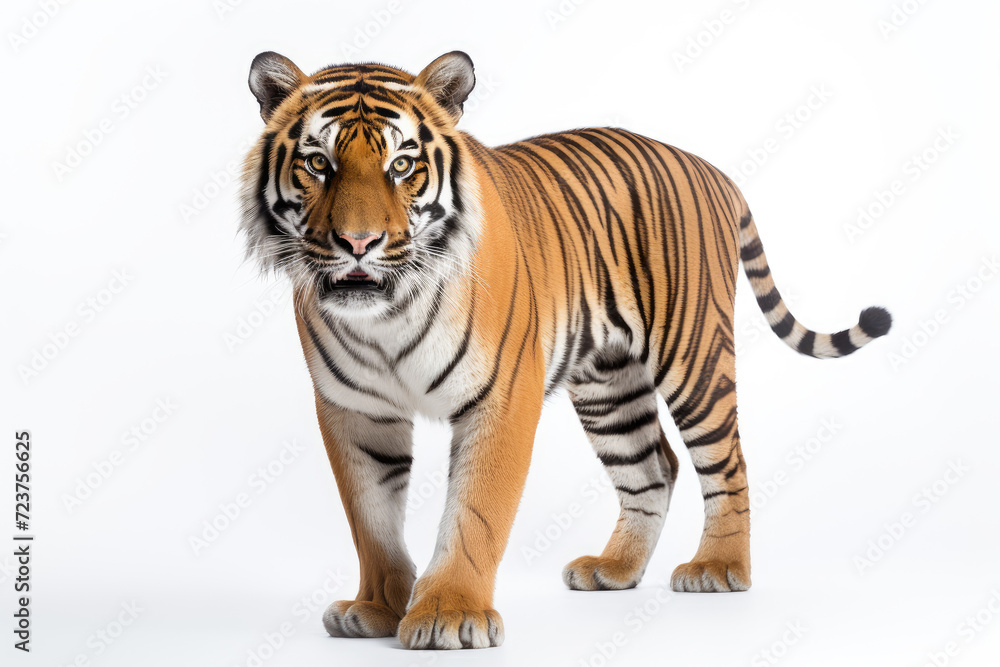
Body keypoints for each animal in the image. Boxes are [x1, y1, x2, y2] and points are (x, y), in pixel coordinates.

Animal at [239, 50, 892, 650]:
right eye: (318, 163)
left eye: (402, 166)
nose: (358, 242)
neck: (385, 317)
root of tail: (708, 167)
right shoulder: (354, 410)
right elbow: (370, 518)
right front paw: (375, 608)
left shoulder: (500, 397)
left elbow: (476, 510)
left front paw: (450, 613)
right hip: (609, 384)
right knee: (653, 466)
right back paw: (615, 570)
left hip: (694, 356)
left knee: (726, 462)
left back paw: (719, 567)